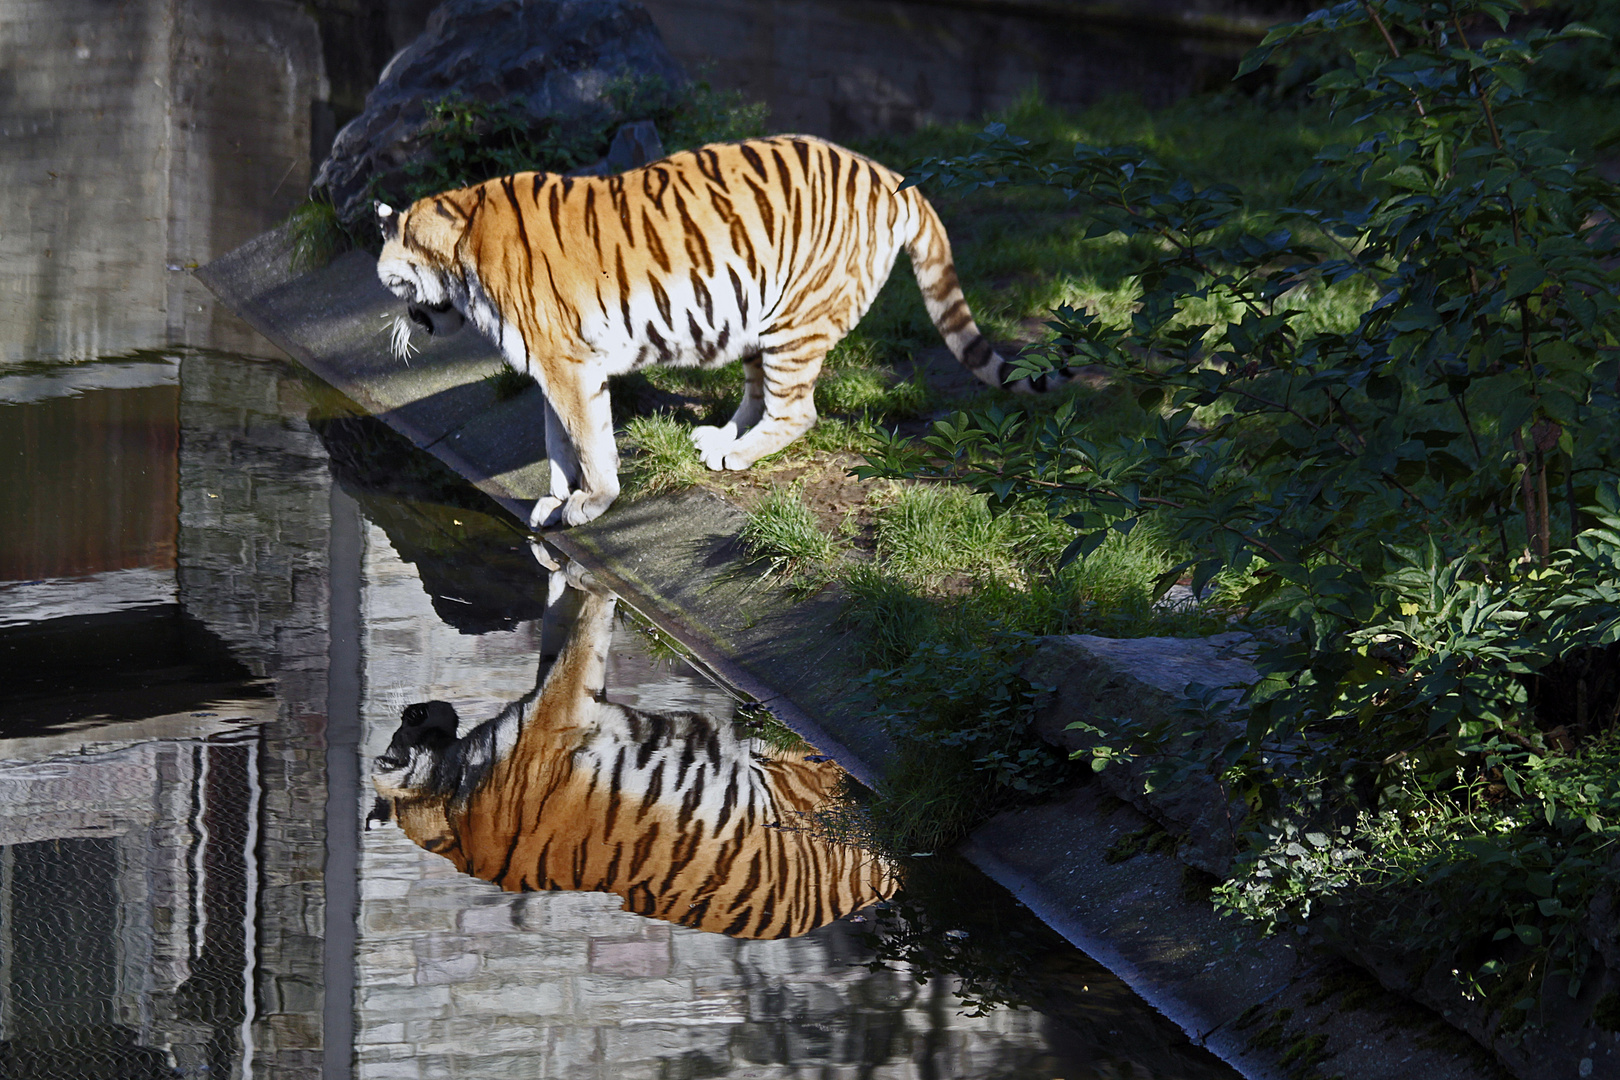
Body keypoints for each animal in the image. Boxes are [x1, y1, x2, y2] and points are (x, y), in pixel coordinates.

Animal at [370, 557, 894, 939]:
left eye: (407, 724)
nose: (416, 707)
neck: (448, 800)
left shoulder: (555, 707)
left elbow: (558, 635)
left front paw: (559, 560)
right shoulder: (557, 715)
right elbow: (583, 636)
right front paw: (591, 576)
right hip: (801, 781)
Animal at [372, 132, 1069, 531]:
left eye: (393, 283)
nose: (403, 321)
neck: (461, 255)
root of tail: (889, 175)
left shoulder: (566, 364)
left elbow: (587, 442)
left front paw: (592, 504)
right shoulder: (552, 364)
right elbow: (558, 443)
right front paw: (554, 499)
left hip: (796, 317)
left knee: (799, 411)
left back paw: (737, 453)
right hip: (758, 312)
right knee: (761, 394)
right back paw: (720, 437)